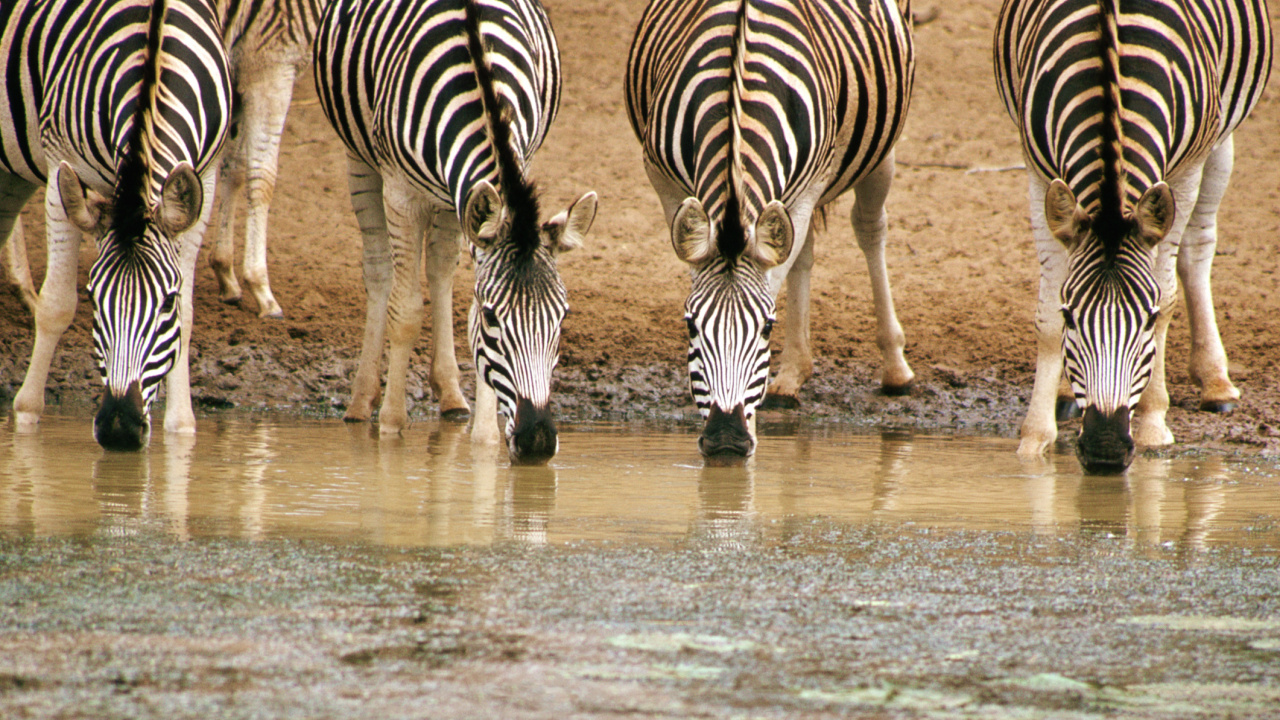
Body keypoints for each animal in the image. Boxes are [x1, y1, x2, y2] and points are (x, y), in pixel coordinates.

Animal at [0, 0, 231, 450]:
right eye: (93, 297)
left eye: (167, 303)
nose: (120, 429)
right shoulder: (61, 164)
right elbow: (56, 305)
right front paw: (26, 417)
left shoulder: (207, 175)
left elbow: (190, 312)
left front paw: (181, 427)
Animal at [208, 0, 325, 319]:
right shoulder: (270, 63)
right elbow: (263, 176)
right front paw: (260, 287)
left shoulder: (235, 67)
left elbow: (233, 167)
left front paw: (225, 272)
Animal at [314, 0, 597, 463]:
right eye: (493, 317)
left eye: (564, 316)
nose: (537, 441)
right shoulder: (401, 194)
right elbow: (407, 311)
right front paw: (391, 425)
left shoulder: (517, 167)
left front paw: (484, 441)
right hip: (360, 156)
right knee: (379, 272)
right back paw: (362, 402)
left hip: (455, 199)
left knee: (441, 267)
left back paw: (449, 394)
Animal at [625, 0, 916, 458]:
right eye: (690, 326)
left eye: (766, 327)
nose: (726, 441)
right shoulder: (663, 179)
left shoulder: (813, 180)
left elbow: (773, 281)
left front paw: (753, 425)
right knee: (804, 250)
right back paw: (792, 374)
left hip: (879, 143)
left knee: (870, 228)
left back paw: (895, 367)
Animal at [994, 0, 1272, 471]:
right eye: (1072, 317)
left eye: (1145, 319)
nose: (1105, 450)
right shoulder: (1037, 169)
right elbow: (1046, 313)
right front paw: (1033, 440)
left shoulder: (1186, 170)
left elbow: (1167, 293)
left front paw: (1153, 422)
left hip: (1221, 134)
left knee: (1196, 248)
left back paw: (1215, 381)